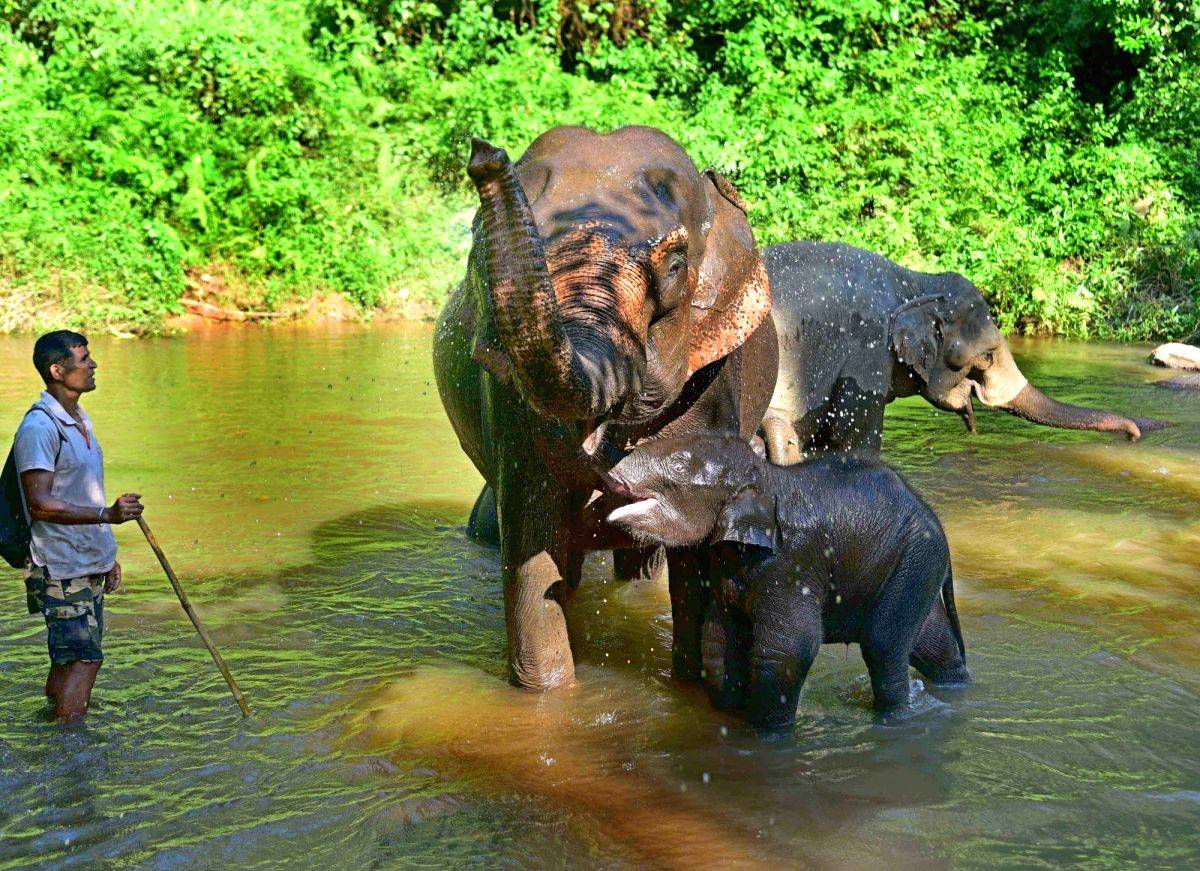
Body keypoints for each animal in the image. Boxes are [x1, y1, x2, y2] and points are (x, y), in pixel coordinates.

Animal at [433, 127, 779, 690]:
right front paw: (548, 694)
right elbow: (533, 543)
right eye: (485, 266)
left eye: (676, 268)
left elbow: (693, 557)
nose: (484, 154)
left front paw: (687, 688)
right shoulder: (507, 400)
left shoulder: (713, 383)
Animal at [604, 434, 968, 729]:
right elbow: (719, 641)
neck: (765, 476)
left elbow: (789, 649)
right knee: (929, 640)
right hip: (914, 564)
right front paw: (729, 717)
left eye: (679, 466)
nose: (612, 475)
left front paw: (769, 735)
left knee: (884, 643)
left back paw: (895, 717)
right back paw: (956, 686)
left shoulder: (793, 562)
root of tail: (933, 518)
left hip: (916, 555)